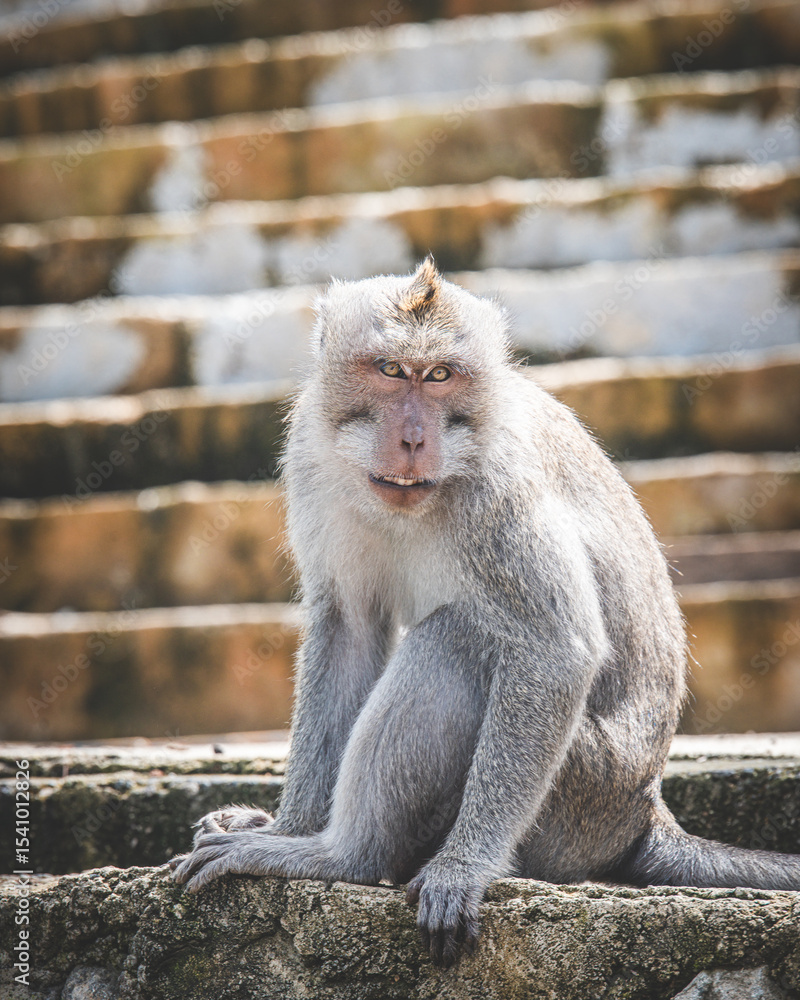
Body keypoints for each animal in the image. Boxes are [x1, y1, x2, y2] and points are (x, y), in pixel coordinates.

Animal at [171, 257, 800, 968]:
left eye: (441, 376)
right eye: (392, 369)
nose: (413, 438)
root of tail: (644, 811)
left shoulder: (499, 491)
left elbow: (555, 651)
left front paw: (459, 867)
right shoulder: (312, 457)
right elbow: (349, 629)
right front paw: (288, 825)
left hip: (578, 796)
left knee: (461, 639)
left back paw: (347, 857)